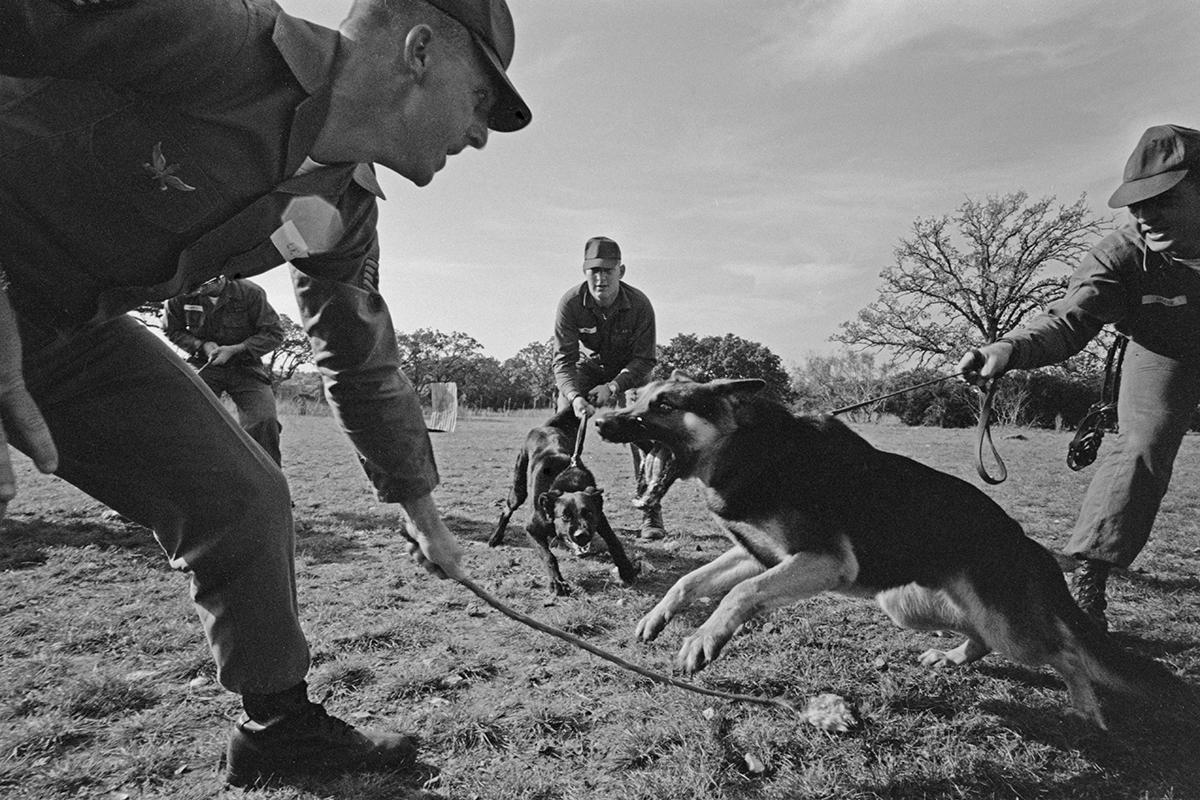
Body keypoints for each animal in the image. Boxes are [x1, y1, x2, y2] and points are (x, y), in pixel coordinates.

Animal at [0, 0, 532, 786]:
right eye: (475, 98)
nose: (475, 138)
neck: (330, 117)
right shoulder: (198, 35)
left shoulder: (351, 227)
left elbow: (356, 356)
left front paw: (431, 534)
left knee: (239, 499)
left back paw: (283, 736)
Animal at [489, 410, 643, 597]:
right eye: (565, 516)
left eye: (589, 513)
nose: (581, 535)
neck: (567, 483)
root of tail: (545, 427)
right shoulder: (532, 529)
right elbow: (548, 556)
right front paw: (557, 582)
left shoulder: (600, 519)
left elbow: (614, 542)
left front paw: (626, 569)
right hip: (519, 487)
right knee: (507, 509)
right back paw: (496, 537)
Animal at [595, 371, 1195, 729]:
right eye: (635, 398)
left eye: (664, 405)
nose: (599, 421)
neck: (748, 447)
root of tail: (1028, 545)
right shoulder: (762, 555)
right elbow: (691, 580)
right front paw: (658, 617)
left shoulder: (819, 561)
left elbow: (739, 594)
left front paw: (703, 640)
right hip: (909, 606)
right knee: (981, 638)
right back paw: (950, 658)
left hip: (1008, 628)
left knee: (1065, 653)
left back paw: (1085, 708)